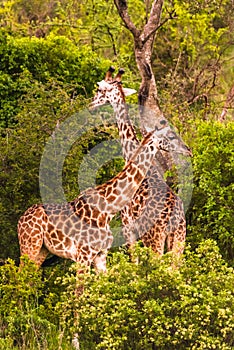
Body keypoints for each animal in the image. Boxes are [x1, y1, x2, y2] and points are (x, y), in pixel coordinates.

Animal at [16, 126, 177, 274]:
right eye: (168, 135)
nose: (180, 147)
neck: (107, 210)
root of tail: (20, 220)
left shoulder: (100, 255)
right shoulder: (83, 255)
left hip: (42, 250)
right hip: (29, 245)